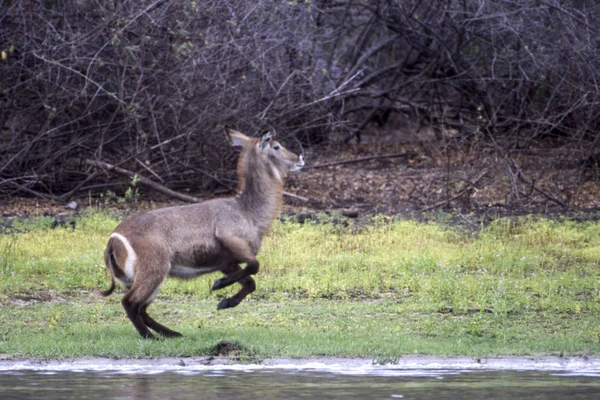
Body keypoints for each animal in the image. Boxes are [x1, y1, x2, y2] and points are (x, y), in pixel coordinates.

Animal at [101, 128, 304, 338]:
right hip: (154, 270)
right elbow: (255, 266)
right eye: (276, 146)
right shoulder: (231, 241)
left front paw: (225, 302)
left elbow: (250, 282)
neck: (248, 211)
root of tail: (113, 239)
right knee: (130, 302)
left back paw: (172, 334)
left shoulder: (227, 262)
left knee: (142, 307)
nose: (300, 158)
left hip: (144, 278)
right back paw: (152, 337)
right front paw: (219, 284)